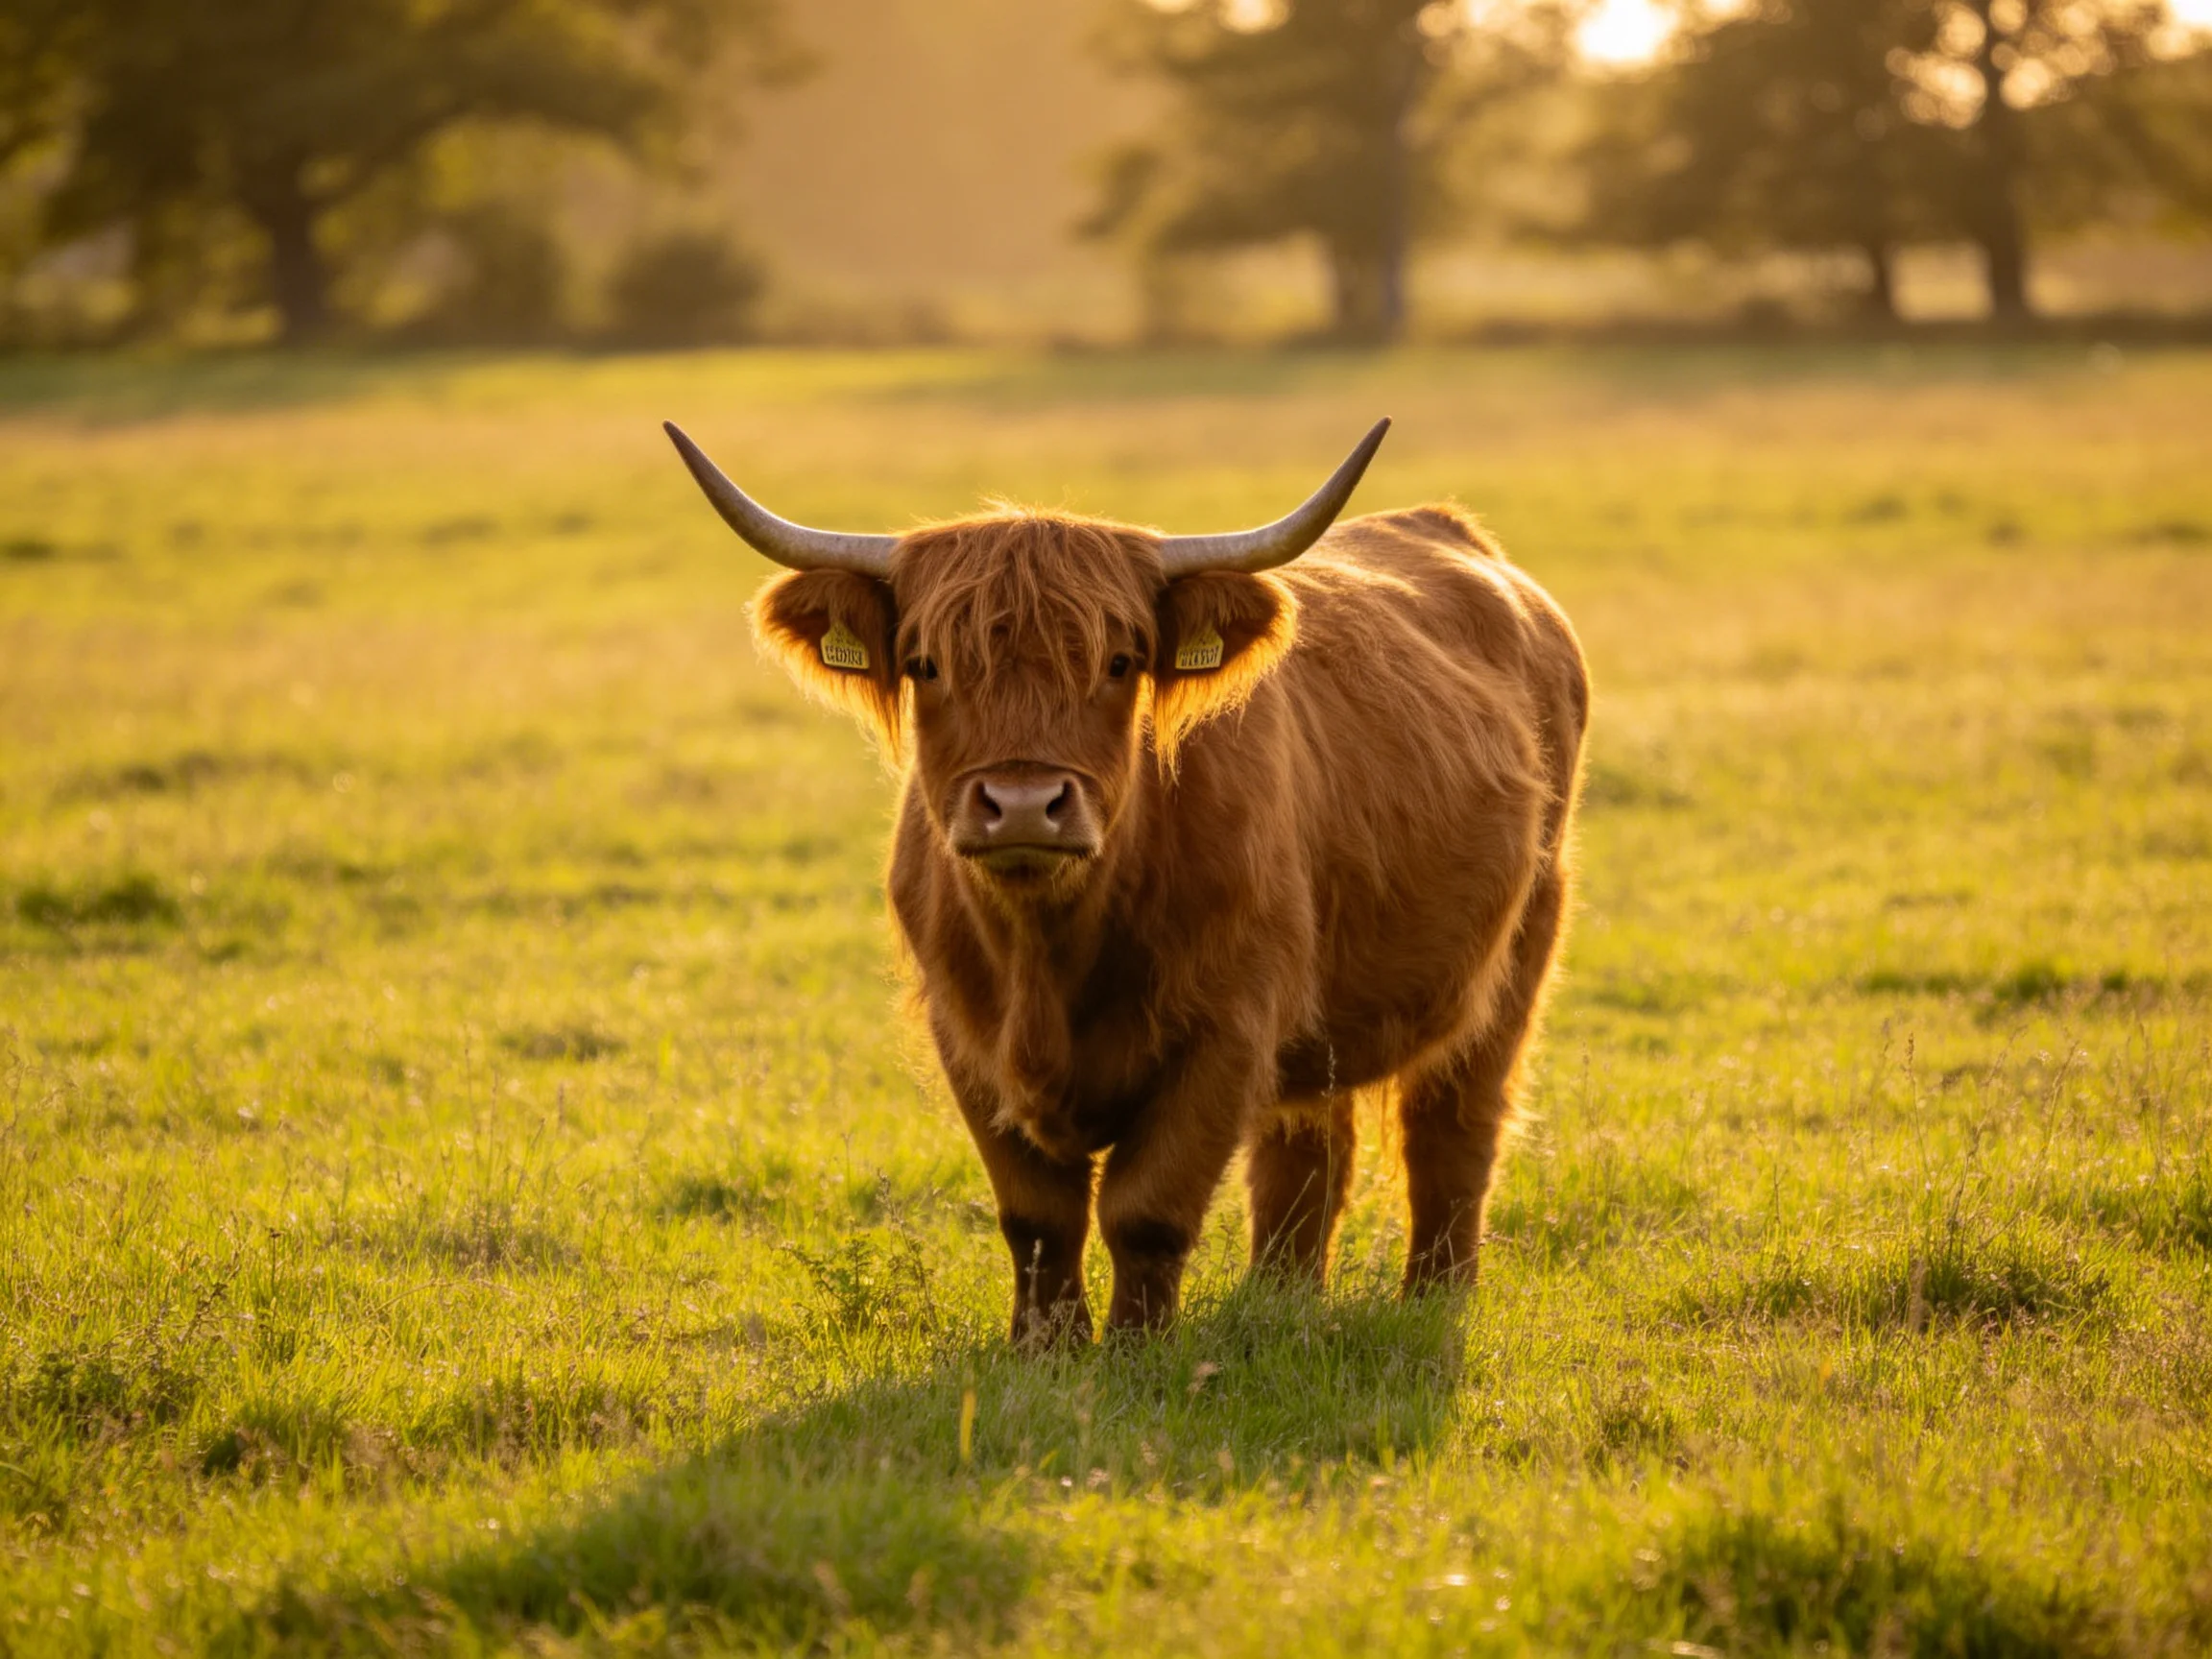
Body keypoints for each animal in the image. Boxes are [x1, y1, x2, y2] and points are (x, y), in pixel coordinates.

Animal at [666, 418, 1588, 1345]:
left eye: (1118, 661)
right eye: (926, 664)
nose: (1025, 805)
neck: (1048, 953)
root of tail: (1451, 532)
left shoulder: (1227, 1031)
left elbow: (1147, 1212)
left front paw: (1137, 1350)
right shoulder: (965, 1035)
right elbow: (1038, 1217)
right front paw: (1045, 1349)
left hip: (1518, 952)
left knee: (1454, 1131)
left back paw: (1435, 1299)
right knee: (1309, 1146)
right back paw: (1278, 1300)